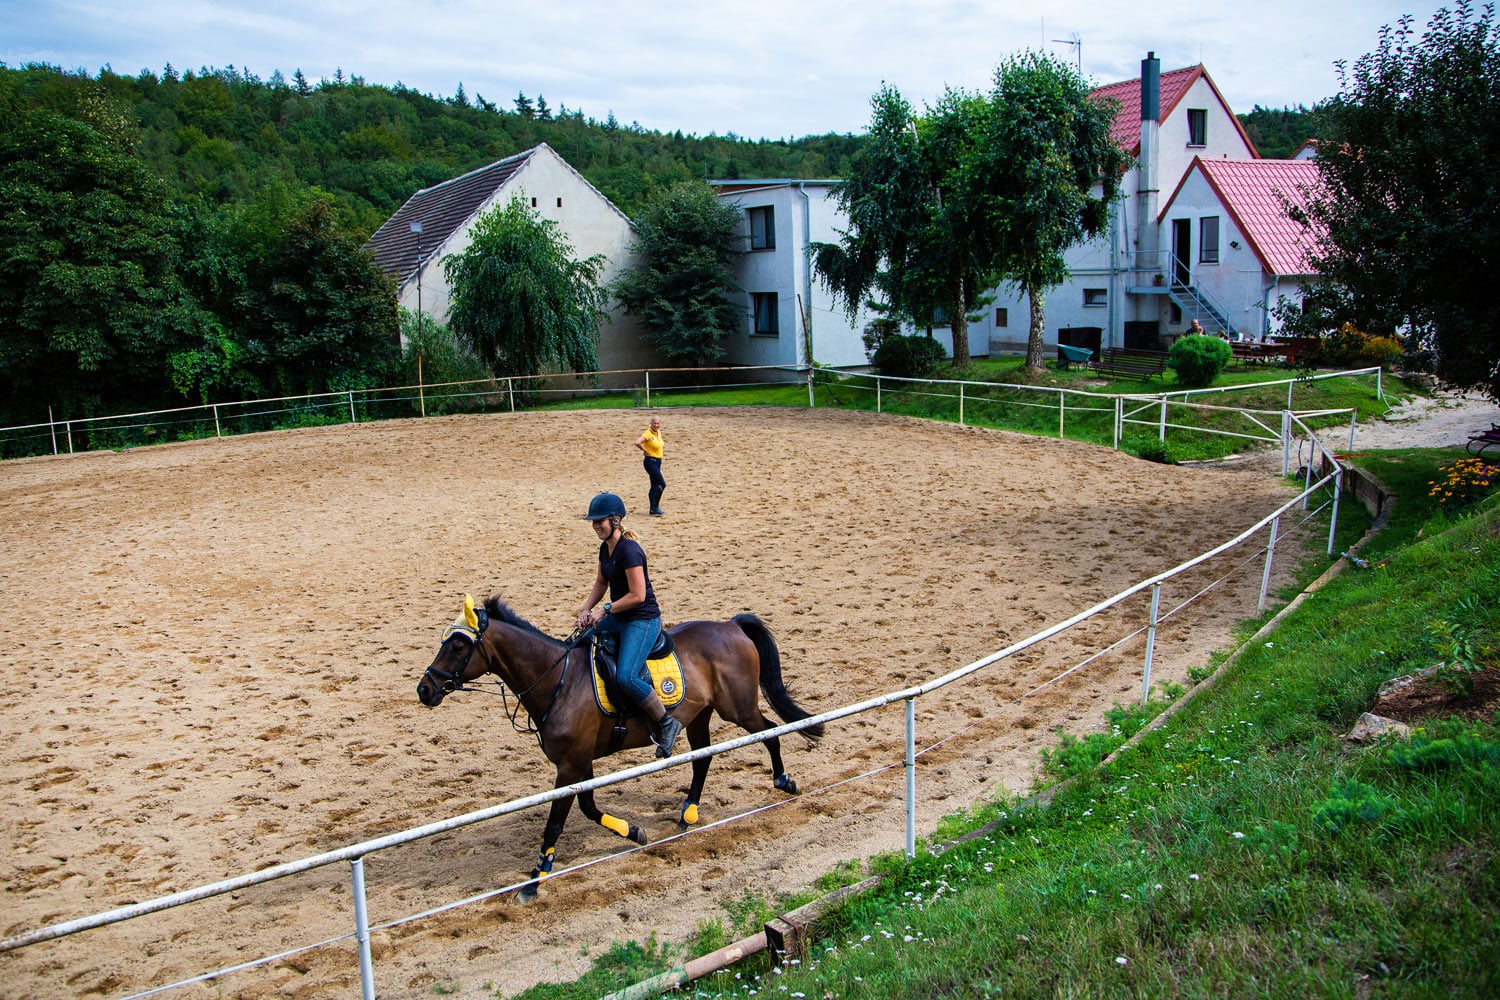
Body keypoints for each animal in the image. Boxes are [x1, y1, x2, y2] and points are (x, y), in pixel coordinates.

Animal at [417, 593, 828, 899]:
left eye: (458, 646)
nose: (424, 689)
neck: (558, 680)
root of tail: (730, 626)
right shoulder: (578, 763)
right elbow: (588, 807)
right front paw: (632, 832)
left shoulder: (569, 766)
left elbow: (555, 823)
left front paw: (536, 879)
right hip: (700, 715)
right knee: (703, 758)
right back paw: (688, 813)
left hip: (738, 708)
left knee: (769, 732)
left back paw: (784, 781)